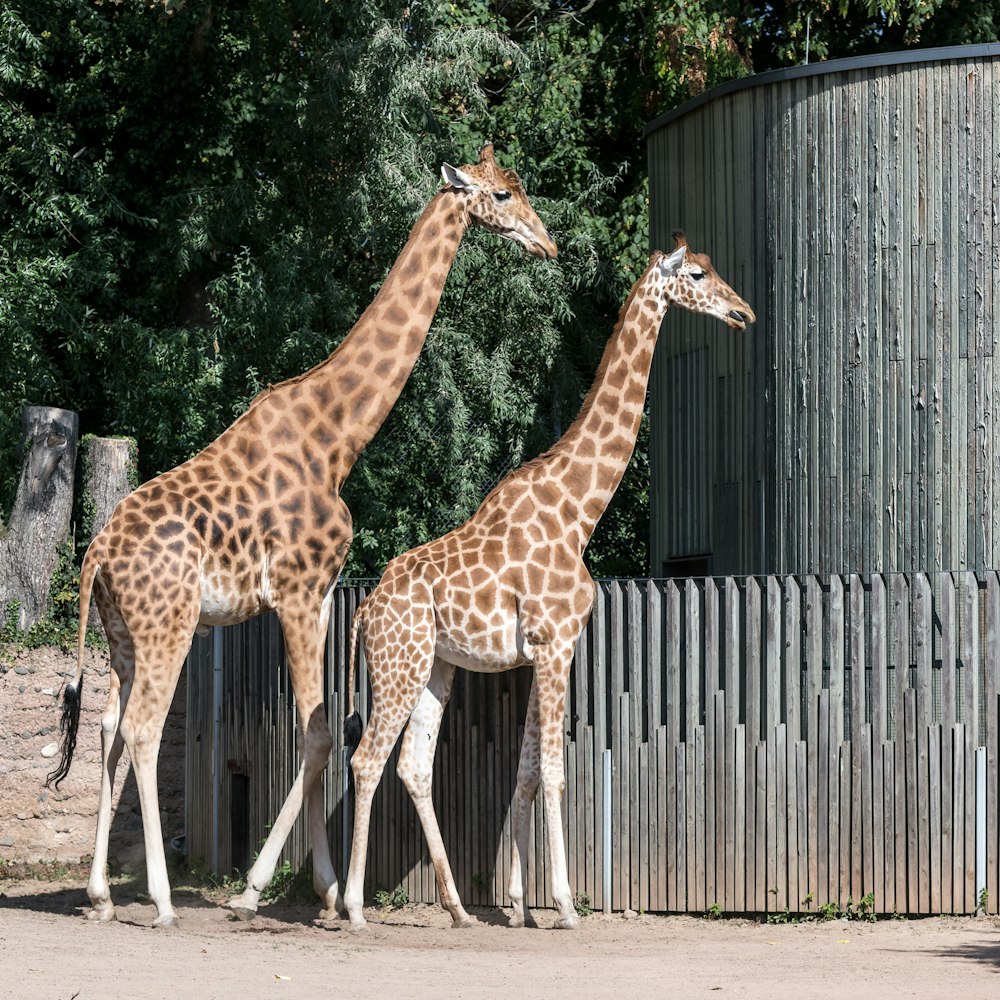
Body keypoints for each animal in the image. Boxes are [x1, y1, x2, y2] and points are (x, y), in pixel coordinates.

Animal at [47, 143, 560, 928]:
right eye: (503, 195)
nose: (548, 243)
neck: (338, 435)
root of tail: (96, 553)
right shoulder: (297, 589)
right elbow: (318, 732)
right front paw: (275, 888)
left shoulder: (317, 596)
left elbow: (317, 727)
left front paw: (316, 886)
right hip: (170, 625)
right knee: (142, 728)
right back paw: (161, 900)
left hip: (120, 634)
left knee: (106, 726)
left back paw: (102, 894)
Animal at [340, 230, 752, 924]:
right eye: (697, 275)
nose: (743, 313)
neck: (579, 508)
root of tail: (365, 611)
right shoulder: (555, 643)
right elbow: (556, 770)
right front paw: (561, 902)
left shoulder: (542, 649)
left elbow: (528, 769)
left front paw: (515, 901)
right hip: (399, 664)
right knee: (367, 759)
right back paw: (351, 906)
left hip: (435, 666)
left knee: (414, 766)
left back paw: (458, 907)